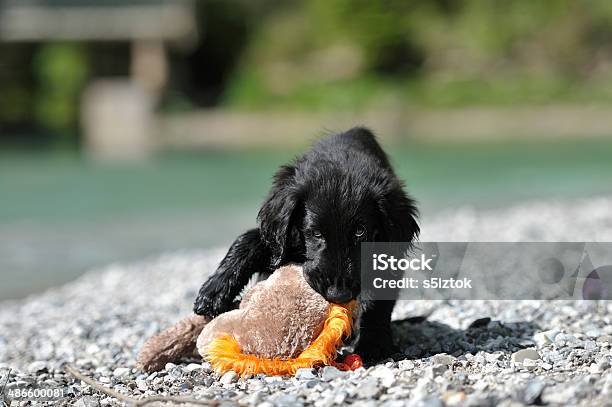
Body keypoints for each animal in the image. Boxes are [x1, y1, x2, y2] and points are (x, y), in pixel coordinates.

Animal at [194, 127, 418, 364]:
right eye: (315, 232)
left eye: (360, 231)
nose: (338, 294)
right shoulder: (282, 241)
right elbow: (249, 240)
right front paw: (213, 292)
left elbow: (378, 299)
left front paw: (374, 343)